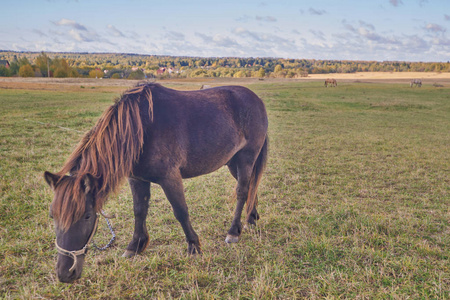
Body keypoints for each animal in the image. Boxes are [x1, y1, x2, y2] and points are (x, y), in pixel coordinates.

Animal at [43, 83, 268, 282]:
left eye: (87, 216)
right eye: (52, 215)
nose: (65, 274)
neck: (141, 128)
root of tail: (256, 99)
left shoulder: (170, 178)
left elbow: (180, 211)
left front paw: (194, 246)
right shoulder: (136, 179)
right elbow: (139, 211)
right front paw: (135, 246)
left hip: (246, 158)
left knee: (242, 191)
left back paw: (233, 232)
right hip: (233, 162)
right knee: (251, 187)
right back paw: (251, 219)